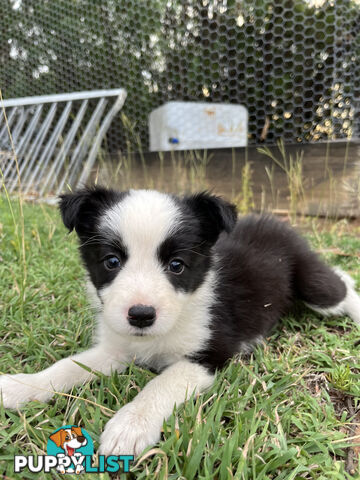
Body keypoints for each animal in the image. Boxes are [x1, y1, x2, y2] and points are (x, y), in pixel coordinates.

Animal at [0, 186, 360, 456]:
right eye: (111, 261)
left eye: (177, 265)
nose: (141, 315)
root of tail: (276, 222)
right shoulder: (116, 347)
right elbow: (67, 367)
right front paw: (20, 387)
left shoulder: (210, 353)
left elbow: (161, 384)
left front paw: (130, 425)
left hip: (313, 286)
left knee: (339, 285)